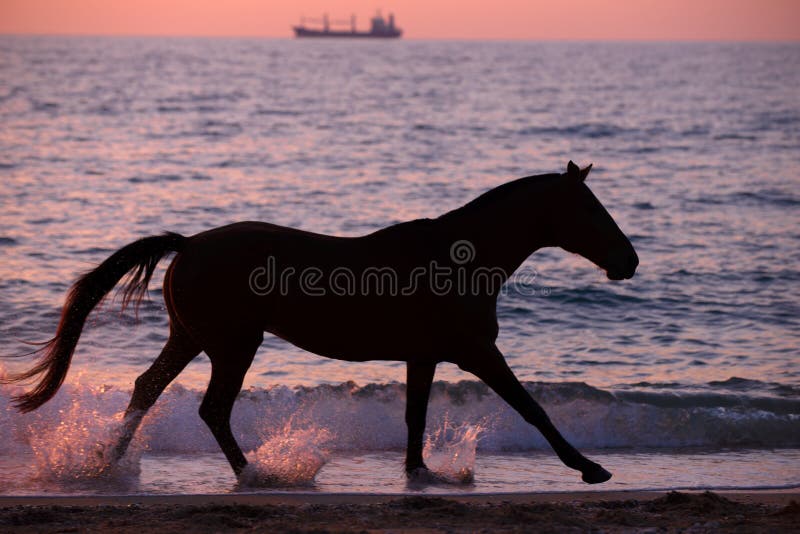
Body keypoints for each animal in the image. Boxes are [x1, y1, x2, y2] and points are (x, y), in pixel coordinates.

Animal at [1, 162, 636, 486]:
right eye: (590, 209)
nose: (628, 260)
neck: (461, 257)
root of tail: (189, 245)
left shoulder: (424, 355)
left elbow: (415, 416)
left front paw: (419, 472)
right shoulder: (477, 351)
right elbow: (532, 408)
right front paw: (589, 467)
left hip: (191, 339)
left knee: (147, 389)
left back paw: (107, 461)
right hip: (233, 345)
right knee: (211, 408)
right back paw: (257, 474)